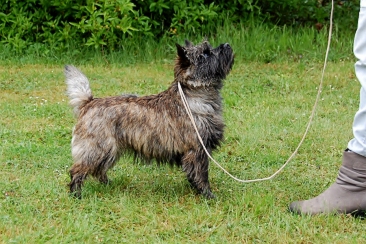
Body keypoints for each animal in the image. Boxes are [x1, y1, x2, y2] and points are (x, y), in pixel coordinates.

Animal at [64, 39, 233, 198]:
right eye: (205, 54)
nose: (227, 44)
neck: (193, 95)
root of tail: (89, 102)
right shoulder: (197, 149)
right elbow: (201, 174)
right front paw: (207, 195)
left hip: (110, 150)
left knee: (99, 170)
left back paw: (107, 184)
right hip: (97, 148)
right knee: (77, 170)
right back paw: (76, 194)